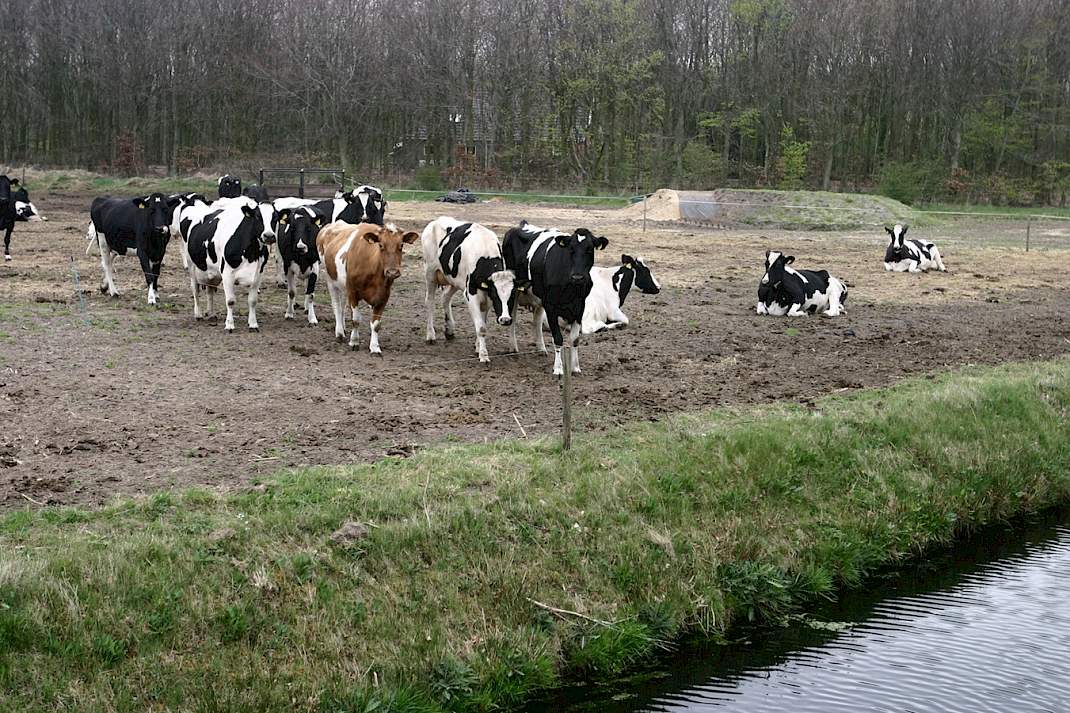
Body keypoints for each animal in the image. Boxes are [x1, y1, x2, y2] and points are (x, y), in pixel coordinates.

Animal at [182, 196, 278, 332]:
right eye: (258, 216)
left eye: (275, 217)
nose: (269, 236)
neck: (251, 253)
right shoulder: (227, 273)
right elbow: (230, 301)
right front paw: (229, 325)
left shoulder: (258, 274)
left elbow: (253, 300)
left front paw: (253, 324)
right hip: (192, 266)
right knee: (195, 290)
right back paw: (198, 314)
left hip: (211, 272)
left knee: (209, 291)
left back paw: (211, 314)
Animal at [317, 221, 419, 354]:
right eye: (381, 245)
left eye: (401, 245)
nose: (392, 272)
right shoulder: (353, 292)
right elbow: (356, 319)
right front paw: (354, 342)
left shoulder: (384, 296)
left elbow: (375, 324)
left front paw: (375, 347)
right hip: (330, 279)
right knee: (337, 306)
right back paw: (339, 333)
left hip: (343, 286)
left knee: (342, 306)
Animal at [422, 217, 517, 363]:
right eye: (496, 296)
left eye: (512, 296)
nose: (505, 320)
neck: (485, 253)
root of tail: (435, 221)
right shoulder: (471, 294)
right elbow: (481, 327)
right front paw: (483, 355)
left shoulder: (485, 296)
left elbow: (482, 323)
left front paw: (478, 347)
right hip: (430, 273)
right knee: (430, 301)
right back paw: (431, 335)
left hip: (454, 279)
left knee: (445, 297)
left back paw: (449, 330)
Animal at [502, 220, 608, 375]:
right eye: (571, 249)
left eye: (589, 249)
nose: (577, 277)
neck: (570, 288)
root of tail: (522, 225)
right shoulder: (551, 306)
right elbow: (557, 338)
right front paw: (558, 368)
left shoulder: (579, 307)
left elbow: (575, 339)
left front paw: (575, 367)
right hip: (514, 289)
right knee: (513, 317)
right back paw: (513, 347)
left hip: (540, 295)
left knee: (537, 320)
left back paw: (541, 348)